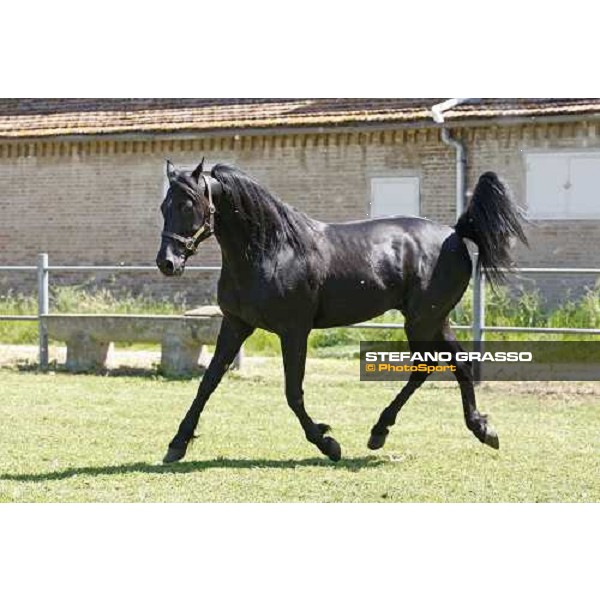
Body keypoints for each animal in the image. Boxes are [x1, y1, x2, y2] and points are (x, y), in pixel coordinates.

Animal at [157, 159, 528, 464]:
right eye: (164, 206)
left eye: (189, 204)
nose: (167, 263)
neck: (271, 251)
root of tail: (454, 232)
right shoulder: (236, 325)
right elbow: (207, 383)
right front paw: (176, 444)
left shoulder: (294, 331)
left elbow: (293, 393)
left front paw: (328, 444)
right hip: (436, 320)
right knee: (456, 363)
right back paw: (478, 429)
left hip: (423, 321)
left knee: (426, 366)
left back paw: (381, 432)